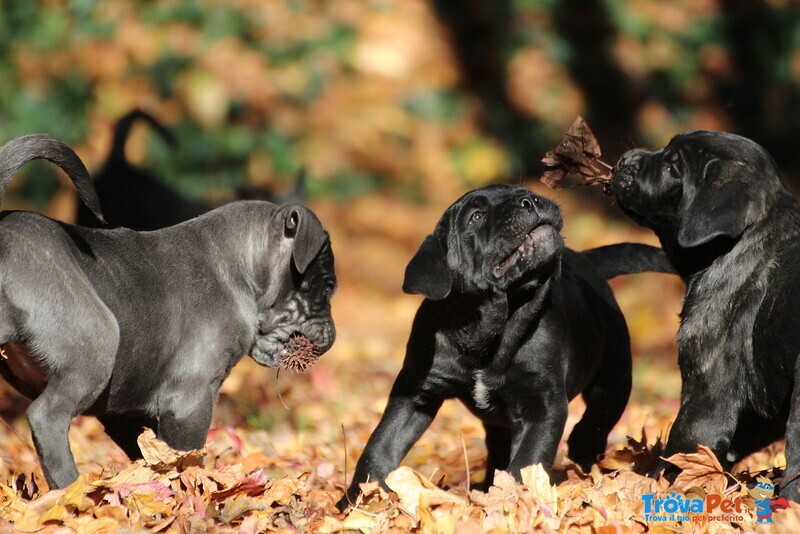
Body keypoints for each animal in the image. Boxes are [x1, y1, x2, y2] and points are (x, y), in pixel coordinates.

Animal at [0, 135, 334, 490]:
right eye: (328, 286)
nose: (332, 337)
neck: (239, 266)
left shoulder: (125, 409)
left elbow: (149, 454)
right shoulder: (191, 400)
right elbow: (185, 458)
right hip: (94, 345)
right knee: (46, 417)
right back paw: (70, 488)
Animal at [338, 185, 676, 510]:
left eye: (522, 191)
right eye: (475, 217)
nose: (530, 200)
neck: (492, 328)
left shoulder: (543, 405)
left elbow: (527, 462)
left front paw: (514, 502)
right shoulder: (415, 393)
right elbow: (380, 446)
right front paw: (353, 503)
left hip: (613, 376)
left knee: (599, 416)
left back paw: (582, 450)